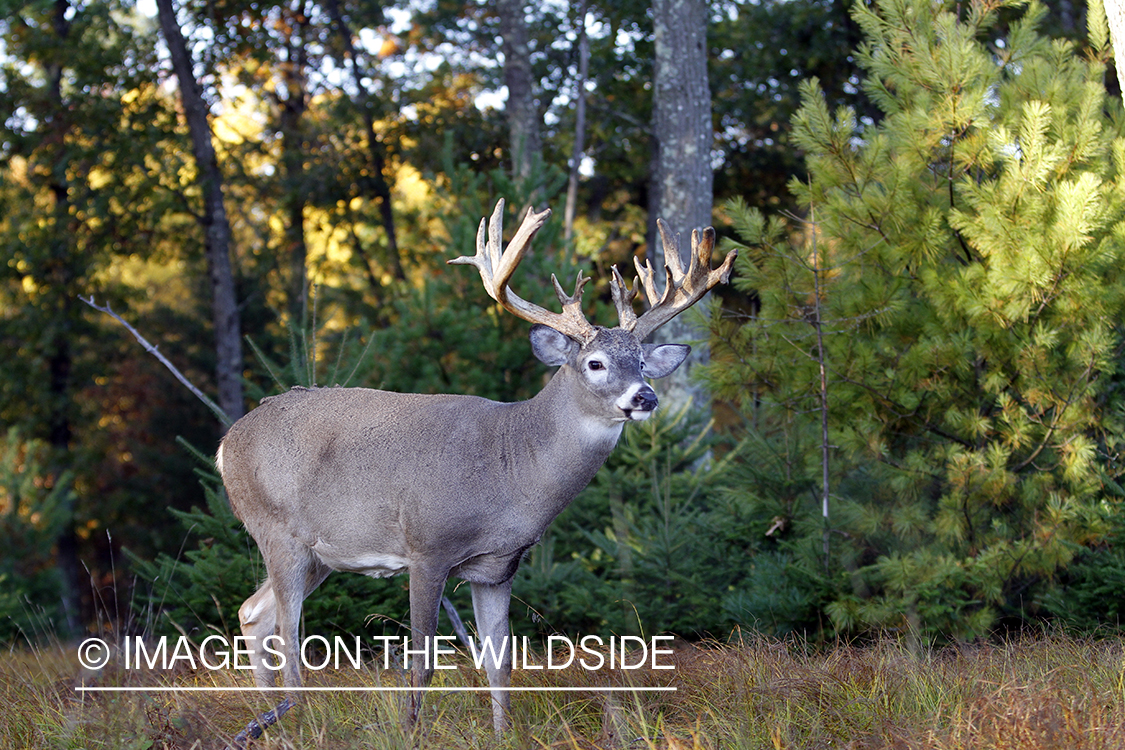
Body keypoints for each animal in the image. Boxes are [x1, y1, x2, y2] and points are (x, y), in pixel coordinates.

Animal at [217, 197, 738, 737]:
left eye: (641, 361)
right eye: (594, 363)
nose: (645, 397)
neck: (510, 468)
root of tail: (227, 442)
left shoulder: (497, 566)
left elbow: (500, 662)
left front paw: (503, 733)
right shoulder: (427, 547)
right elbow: (422, 661)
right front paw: (411, 733)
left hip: (320, 553)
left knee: (253, 613)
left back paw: (273, 718)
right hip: (276, 530)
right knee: (287, 632)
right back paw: (295, 721)